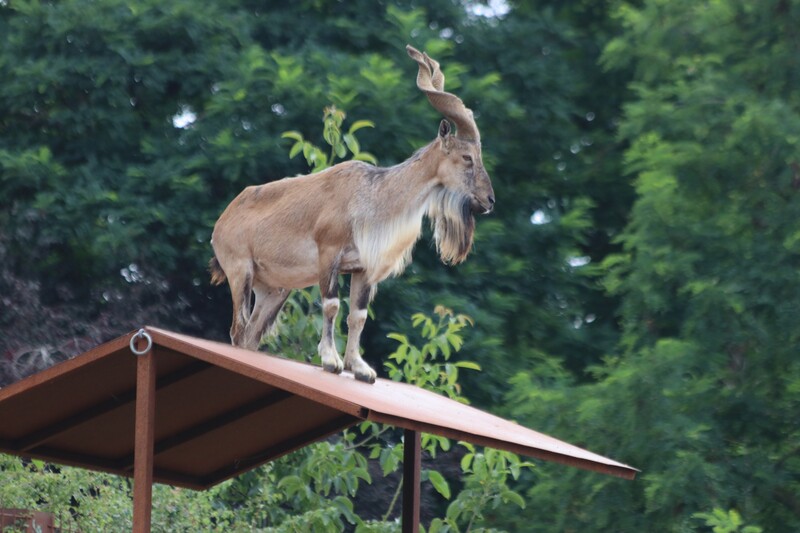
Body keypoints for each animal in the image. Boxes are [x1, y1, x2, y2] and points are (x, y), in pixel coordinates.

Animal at [208, 43, 494, 380]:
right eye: (467, 157)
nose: (489, 201)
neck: (373, 196)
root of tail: (221, 223)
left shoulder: (363, 268)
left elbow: (358, 315)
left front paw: (360, 368)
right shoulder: (328, 254)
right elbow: (331, 305)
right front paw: (330, 360)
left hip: (274, 290)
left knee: (250, 337)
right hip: (241, 271)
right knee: (237, 329)